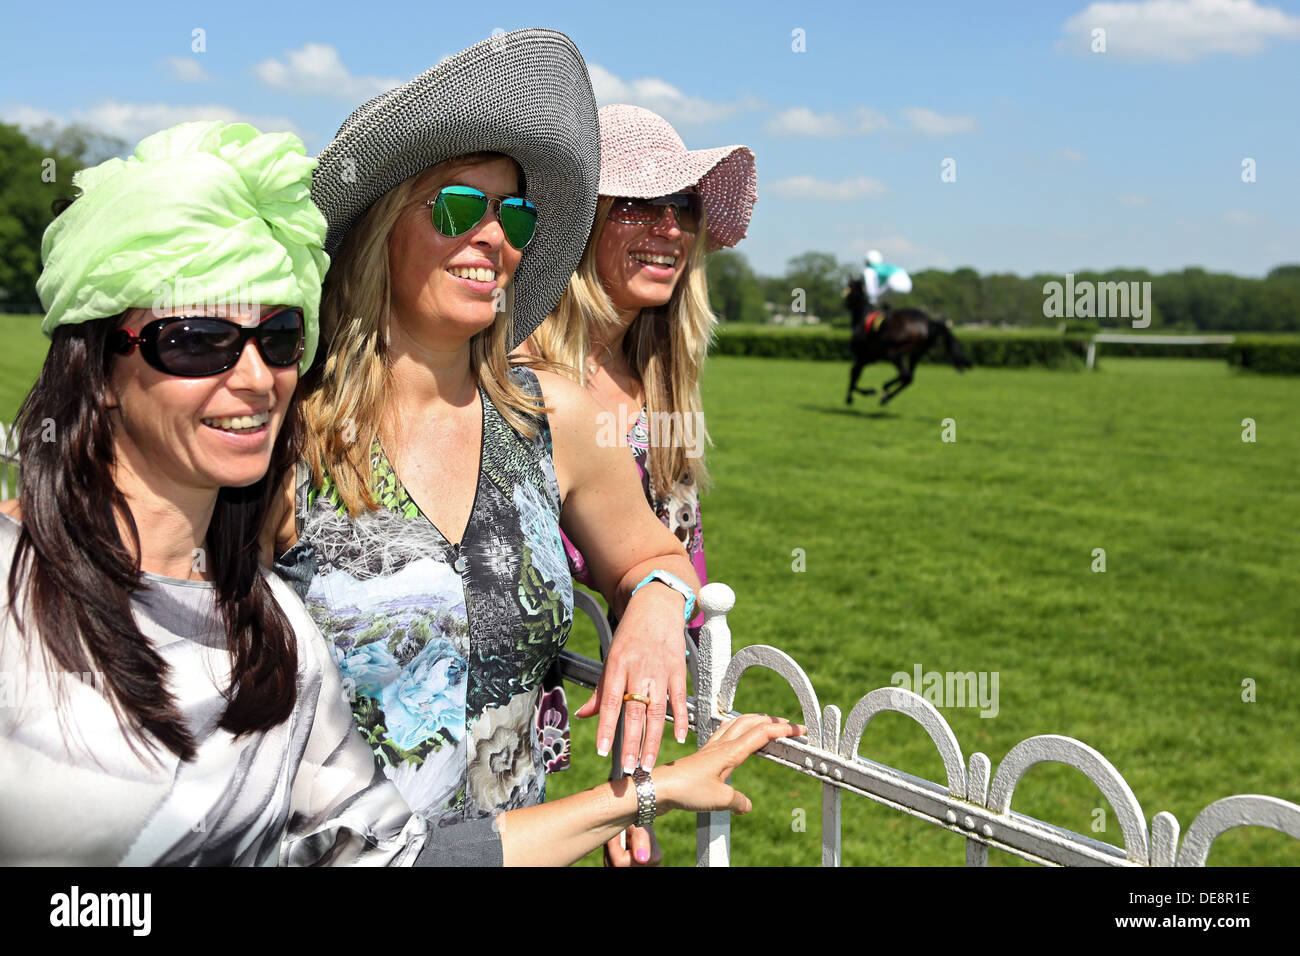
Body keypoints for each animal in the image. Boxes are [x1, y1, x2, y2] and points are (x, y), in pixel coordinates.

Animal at [847, 274, 972, 405]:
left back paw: (885, 391)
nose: (845, 303)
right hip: (916, 353)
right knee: (908, 377)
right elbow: (855, 372)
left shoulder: (863, 355)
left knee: (905, 375)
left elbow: (853, 372)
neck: (862, 318)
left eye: (848, 289)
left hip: (894, 352)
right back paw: (886, 395)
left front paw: (855, 396)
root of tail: (928, 322)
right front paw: (859, 394)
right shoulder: (870, 357)